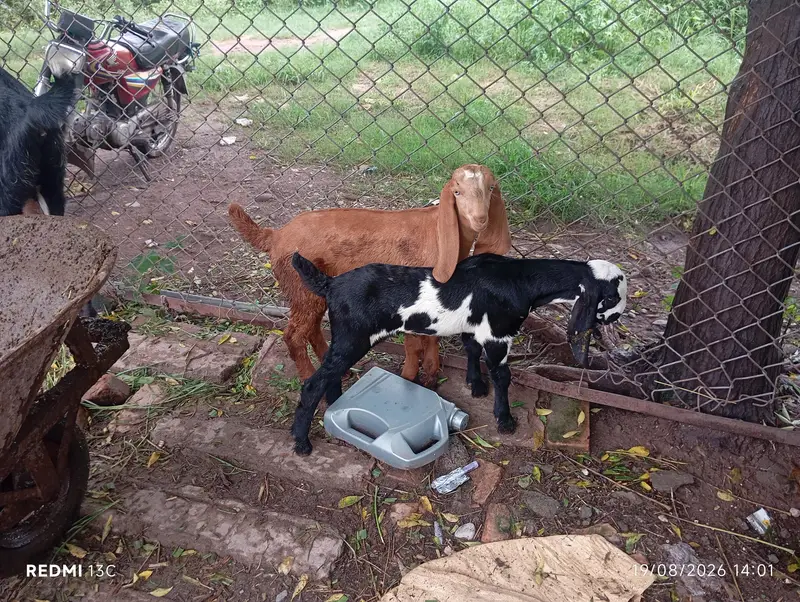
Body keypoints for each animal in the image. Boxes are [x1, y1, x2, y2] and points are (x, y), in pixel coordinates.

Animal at [228, 164, 511, 387]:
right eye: (457, 192)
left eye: (490, 189)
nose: (480, 219)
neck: (439, 235)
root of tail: (275, 236)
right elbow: (412, 344)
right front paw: (409, 377)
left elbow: (430, 338)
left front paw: (431, 377)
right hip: (299, 286)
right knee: (294, 335)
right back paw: (309, 380)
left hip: (313, 289)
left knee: (312, 328)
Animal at [289, 252, 628, 455]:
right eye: (613, 296)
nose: (617, 318)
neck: (519, 278)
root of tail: (331, 284)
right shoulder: (498, 335)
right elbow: (502, 376)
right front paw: (504, 419)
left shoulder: (475, 327)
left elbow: (470, 350)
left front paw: (475, 385)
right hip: (354, 338)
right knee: (313, 383)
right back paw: (302, 441)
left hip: (344, 339)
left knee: (329, 374)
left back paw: (336, 403)